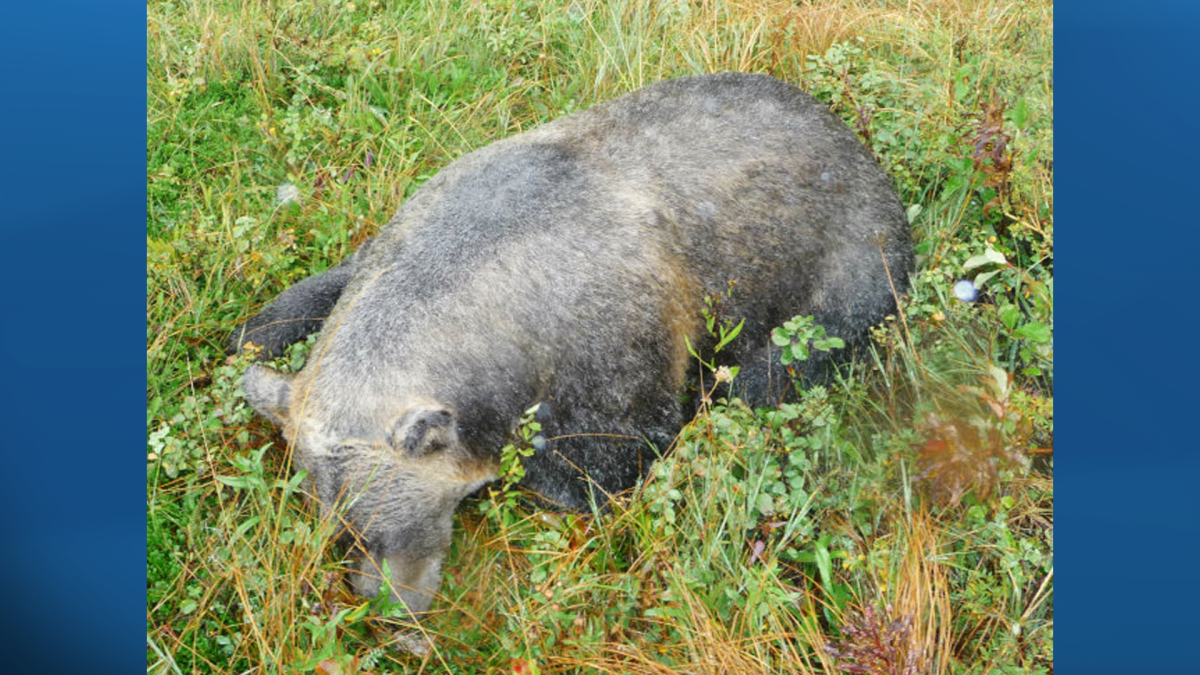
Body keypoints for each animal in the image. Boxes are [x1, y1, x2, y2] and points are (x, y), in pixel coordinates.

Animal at [234, 72, 913, 616]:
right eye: (337, 533)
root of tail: (848, 135)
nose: (387, 603)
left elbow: (603, 462)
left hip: (854, 254)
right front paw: (261, 337)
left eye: (381, 533)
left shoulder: (615, 343)